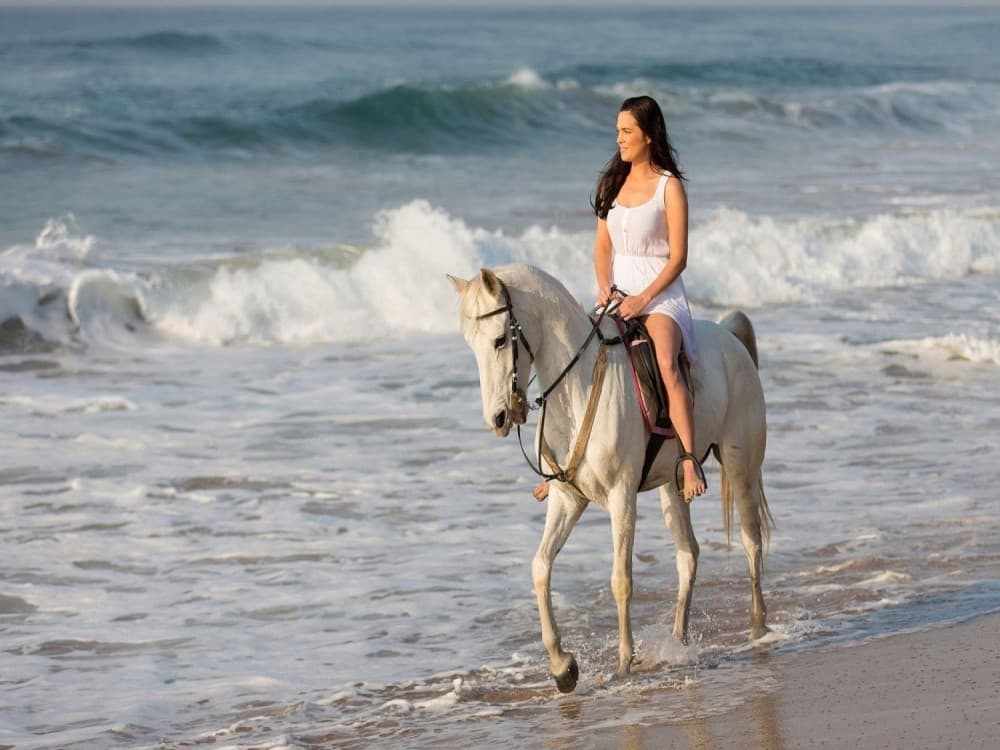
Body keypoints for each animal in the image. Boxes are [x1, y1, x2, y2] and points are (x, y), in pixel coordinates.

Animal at [448, 263, 772, 694]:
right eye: (471, 345)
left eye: (500, 340)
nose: (498, 419)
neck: (577, 389)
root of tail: (729, 337)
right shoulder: (567, 500)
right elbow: (540, 567)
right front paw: (562, 666)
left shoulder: (622, 496)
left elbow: (621, 580)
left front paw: (622, 665)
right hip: (672, 486)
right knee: (688, 555)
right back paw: (678, 641)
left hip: (741, 466)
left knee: (751, 540)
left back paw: (758, 628)